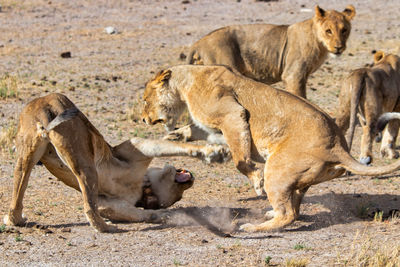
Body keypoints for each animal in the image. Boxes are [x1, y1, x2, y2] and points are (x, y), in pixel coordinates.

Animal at [3, 93, 230, 233]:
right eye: (178, 193)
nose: (190, 180)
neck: (140, 187)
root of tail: (42, 102)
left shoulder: (110, 205)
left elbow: (145, 214)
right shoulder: (138, 147)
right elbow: (171, 145)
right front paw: (214, 153)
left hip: (26, 157)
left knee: (16, 199)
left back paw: (17, 219)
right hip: (82, 158)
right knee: (88, 208)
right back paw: (106, 228)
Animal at [141, 65, 400, 232]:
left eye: (145, 99)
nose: (143, 119)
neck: (186, 82)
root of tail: (338, 147)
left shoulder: (233, 114)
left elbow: (241, 159)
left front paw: (256, 181)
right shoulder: (211, 125)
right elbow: (193, 130)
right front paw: (175, 134)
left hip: (277, 169)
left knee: (288, 215)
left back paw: (251, 228)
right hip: (300, 178)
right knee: (294, 209)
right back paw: (269, 214)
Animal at [186, 4, 354, 99]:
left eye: (344, 30)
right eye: (328, 31)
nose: (339, 47)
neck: (320, 44)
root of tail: (198, 43)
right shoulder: (293, 75)